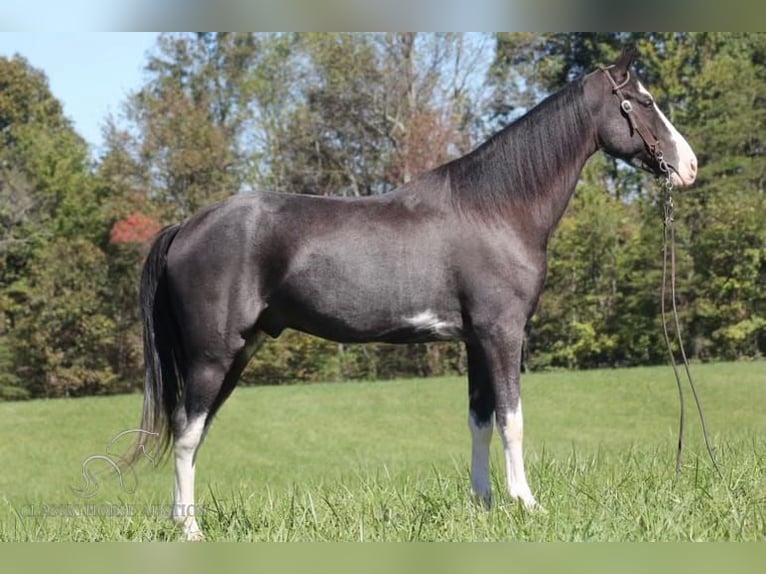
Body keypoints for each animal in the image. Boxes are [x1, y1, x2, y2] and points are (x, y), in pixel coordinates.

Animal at [130, 48, 696, 540]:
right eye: (644, 101)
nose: (688, 167)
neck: (495, 210)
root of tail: (186, 226)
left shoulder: (475, 341)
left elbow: (480, 422)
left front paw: (484, 505)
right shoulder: (503, 335)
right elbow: (512, 420)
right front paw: (527, 504)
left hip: (238, 352)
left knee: (195, 432)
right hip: (213, 355)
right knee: (186, 432)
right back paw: (190, 530)